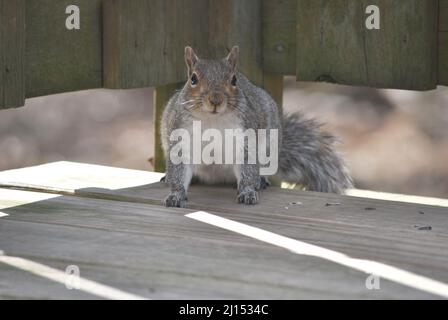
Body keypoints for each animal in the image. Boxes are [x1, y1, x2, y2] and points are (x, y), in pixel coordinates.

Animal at [161, 47, 354, 208]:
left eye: (234, 80)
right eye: (193, 78)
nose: (216, 100)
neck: (212, 120)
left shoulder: (245, 138)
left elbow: (248, 167)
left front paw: (247, 191)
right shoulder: (181, 138)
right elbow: (179, 168)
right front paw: (176, 194)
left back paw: (260, 181)